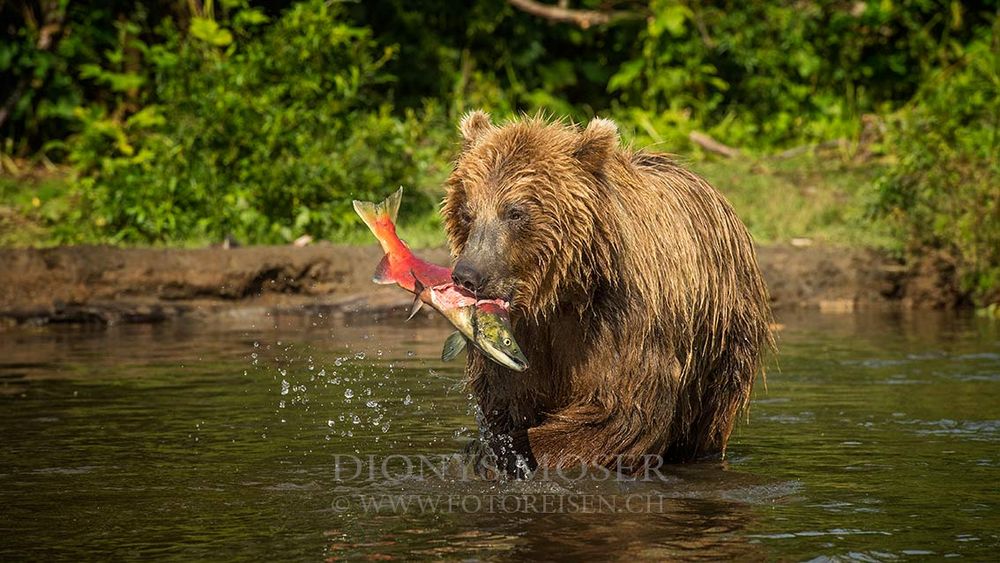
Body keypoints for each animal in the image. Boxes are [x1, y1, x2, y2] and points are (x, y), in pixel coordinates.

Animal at [444, 111, 772, 476]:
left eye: (515, 212)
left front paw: (504, 452)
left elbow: (618, 413)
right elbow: (506, 400)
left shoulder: (620, 319)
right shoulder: (523, 336)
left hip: (720, 336)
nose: (468, 275)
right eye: (467, 212)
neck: (562, 292)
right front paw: (487, 449)